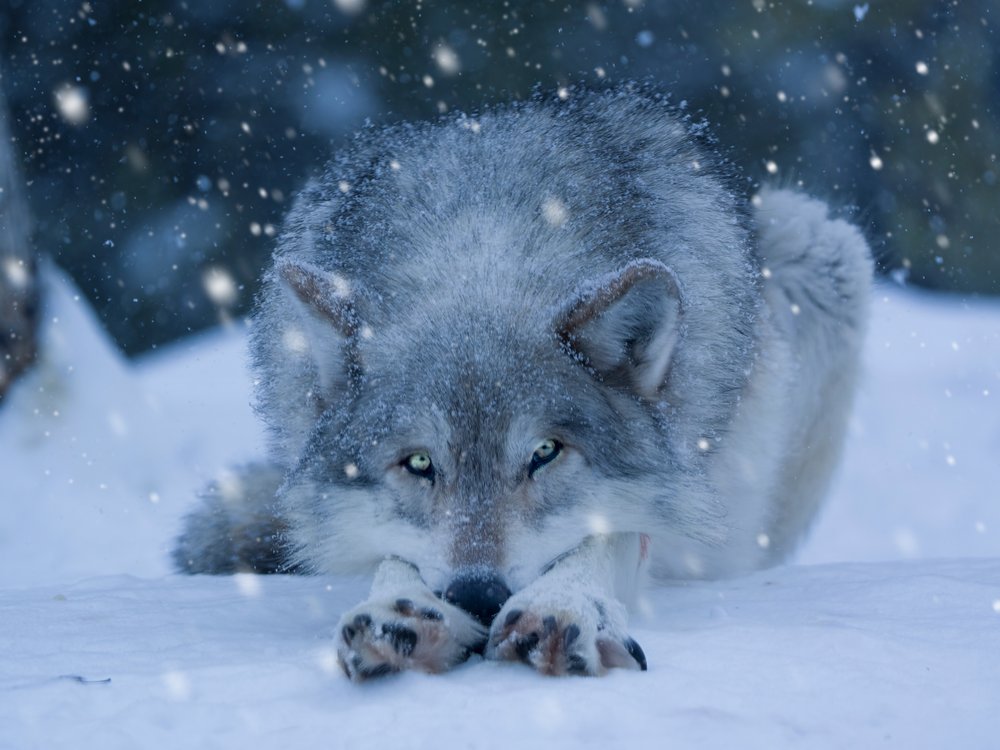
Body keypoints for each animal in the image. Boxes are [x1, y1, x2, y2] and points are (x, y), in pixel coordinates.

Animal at [174, 84, 872, 680]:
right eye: (419, 462)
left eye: (544, 453)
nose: (478, 594)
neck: (482, 255)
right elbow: (392, 556)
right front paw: (404, 614)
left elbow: (613, 533)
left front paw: (563, 607)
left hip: (818, 246)